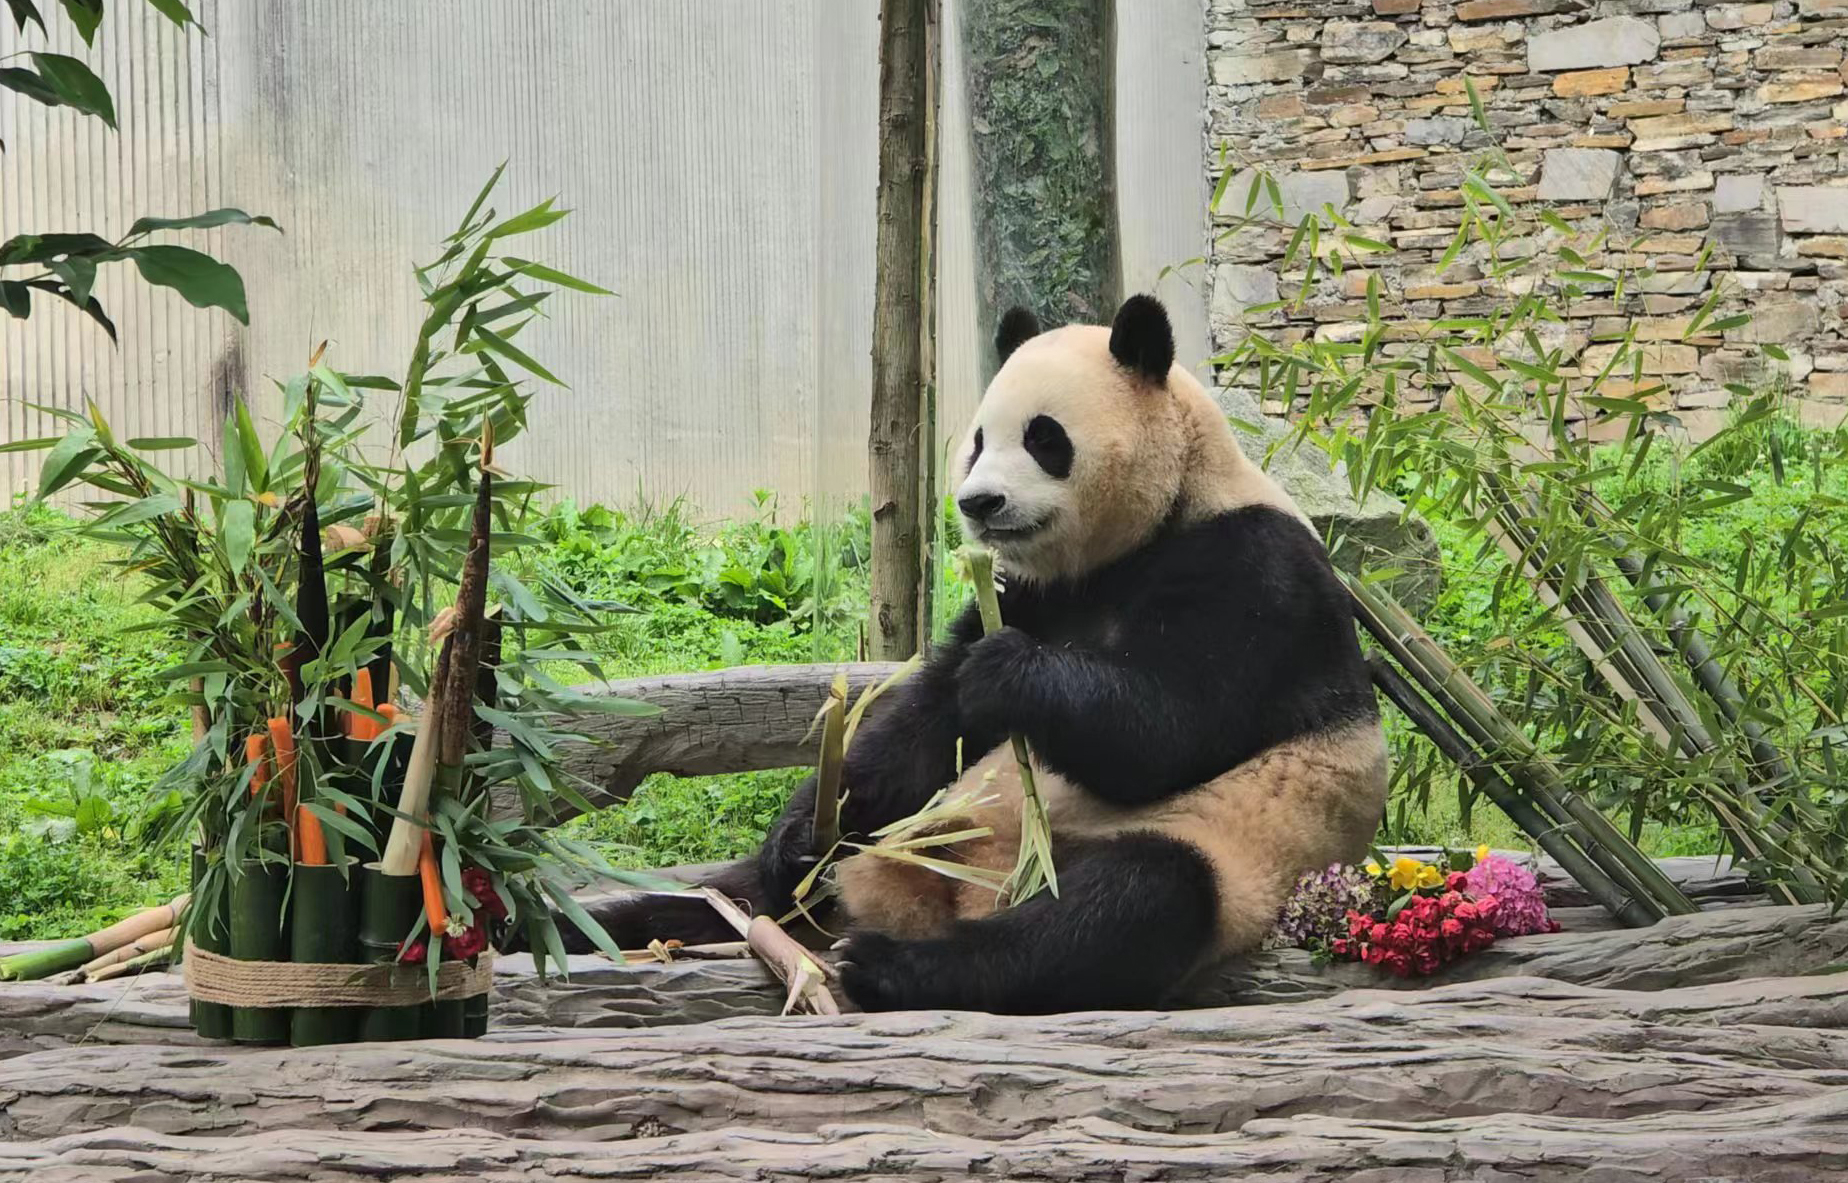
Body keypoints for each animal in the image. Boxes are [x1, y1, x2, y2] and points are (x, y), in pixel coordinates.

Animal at [576, 293, 1389, 1005]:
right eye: (975, 441)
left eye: (1044, 438)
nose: (979, 503)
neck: (1144, 532)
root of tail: (926, 901)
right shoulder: (1027, 588)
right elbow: (924, 728)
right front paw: (804, 831)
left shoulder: (1255, 571)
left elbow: (1171, 727)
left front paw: (1011, 671)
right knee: (728, 896)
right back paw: (595, 922)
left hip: (1223, 852)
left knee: (1122, 904)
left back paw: (891, 966)